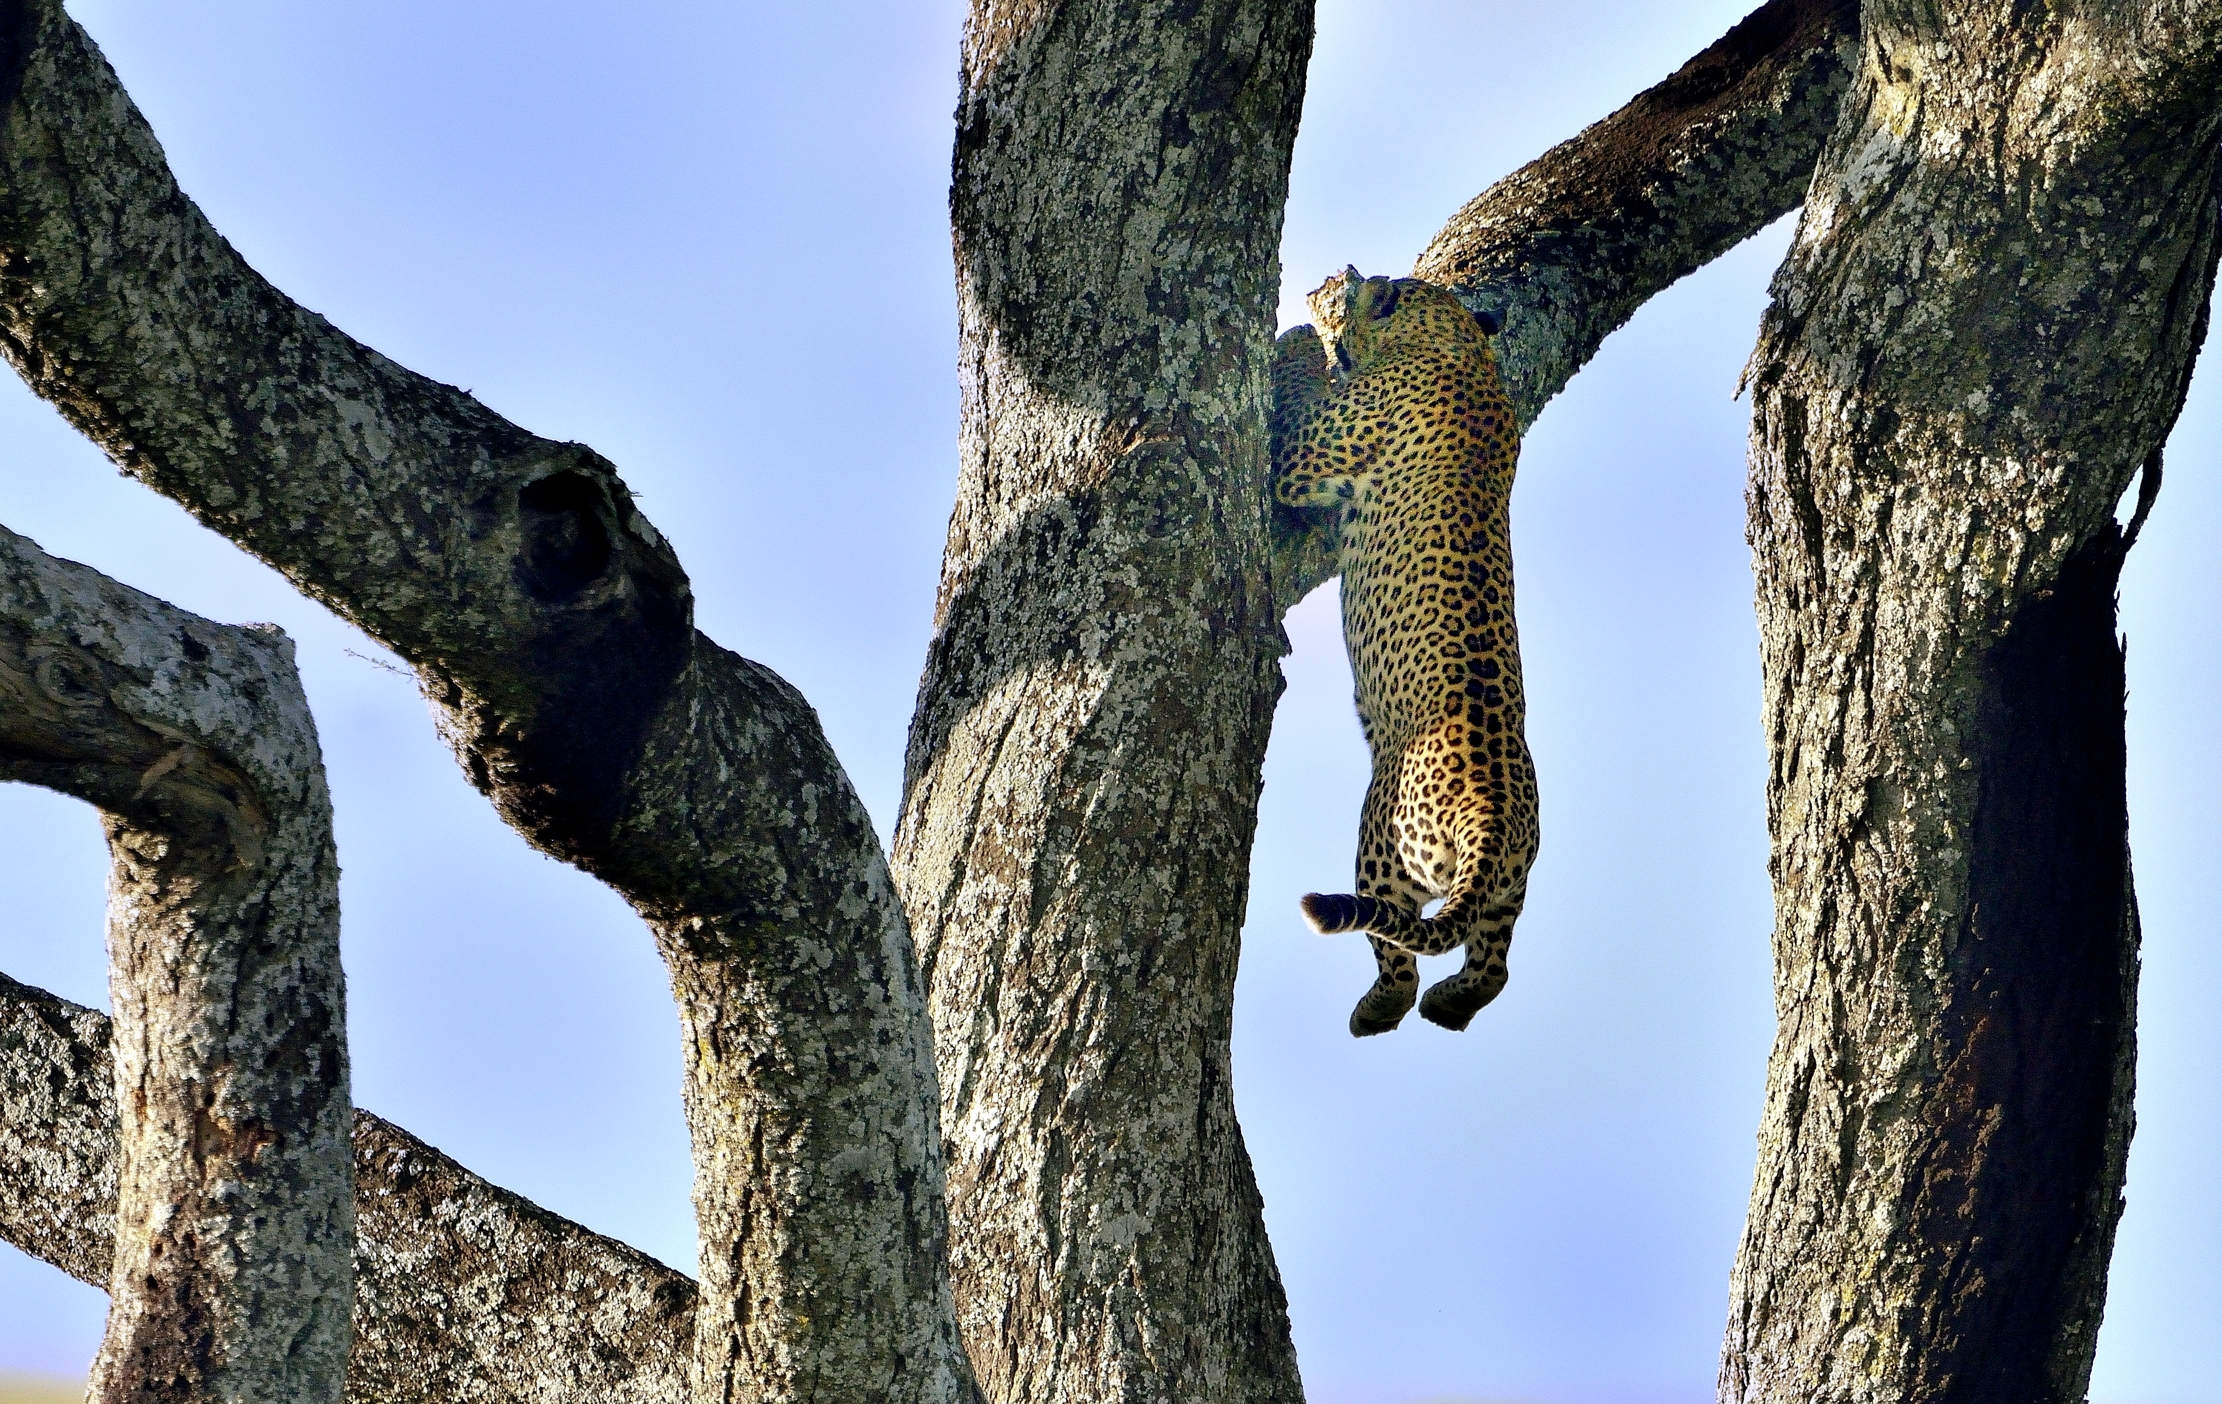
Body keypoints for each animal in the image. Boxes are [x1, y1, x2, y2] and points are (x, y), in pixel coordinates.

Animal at [1270, 267, 1539, 1038]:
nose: (1338, 276)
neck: (1458, 341)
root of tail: (1491, 815)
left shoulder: (1303, 455)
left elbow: (1297, 401)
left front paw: (1302, 336)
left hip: (1381, 841)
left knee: (1395, 946)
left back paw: (1377, 1008)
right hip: (1509, 888)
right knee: (1491, 965)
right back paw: (1450, 1005)